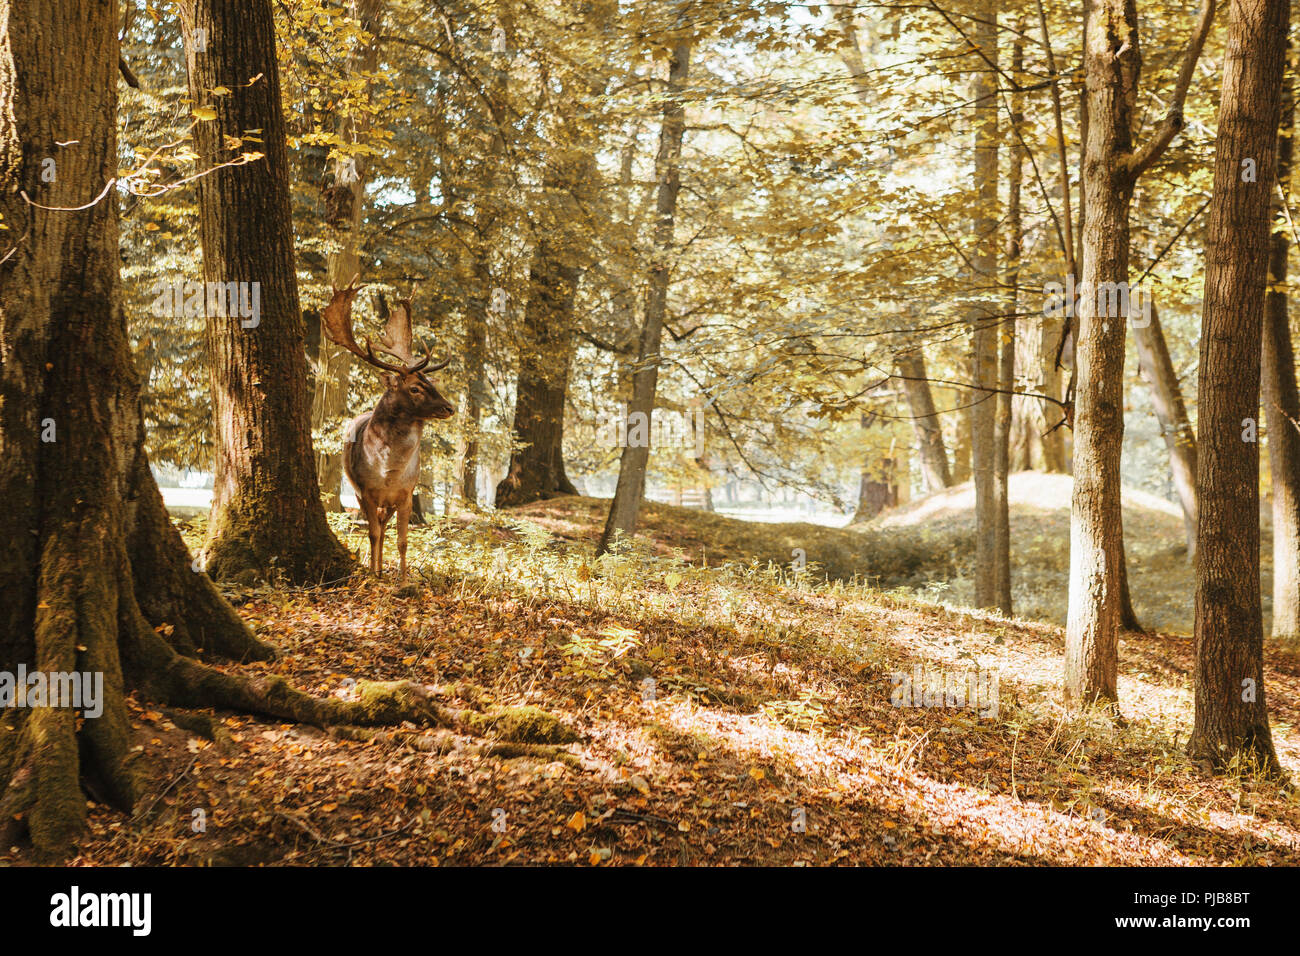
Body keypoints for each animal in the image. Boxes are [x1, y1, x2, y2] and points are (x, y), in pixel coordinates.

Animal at [317, 278, 454, 582]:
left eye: (430, 382)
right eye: (414, 388)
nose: (450, 408)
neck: (389, 472)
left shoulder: (406, 494)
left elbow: (402, 541)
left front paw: (403, 580)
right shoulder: (366, 491)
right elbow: (373, 534)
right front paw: (374, 574)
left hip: (390, 502)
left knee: (383, 524)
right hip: (358, 492)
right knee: (377, 529)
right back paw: (376, 568)